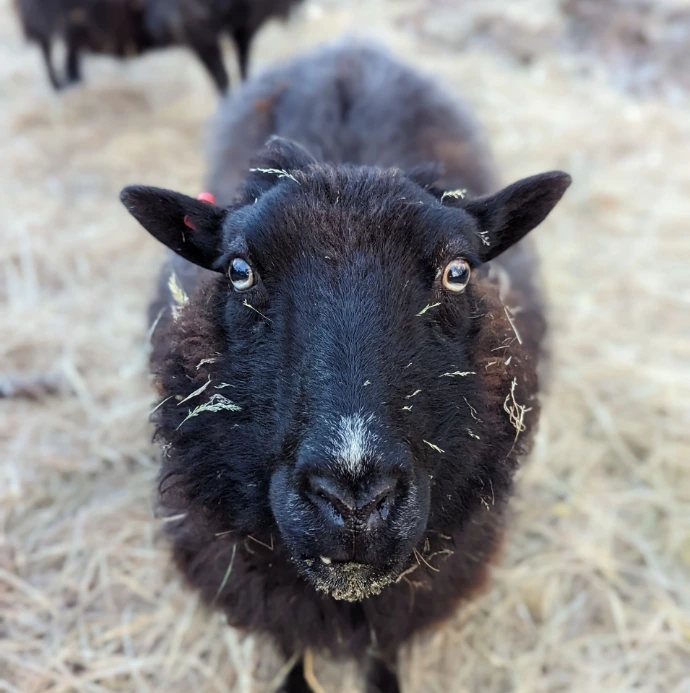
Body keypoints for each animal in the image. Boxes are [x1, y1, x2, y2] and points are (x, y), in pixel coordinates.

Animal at [13, 0, 303, 92]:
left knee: (70, 51)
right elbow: (222, 77)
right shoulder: (198, 32)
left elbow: (242, 67)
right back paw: (59, 87)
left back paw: (74, 83)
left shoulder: (242, 25)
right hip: (41, 15)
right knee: (47, 50)